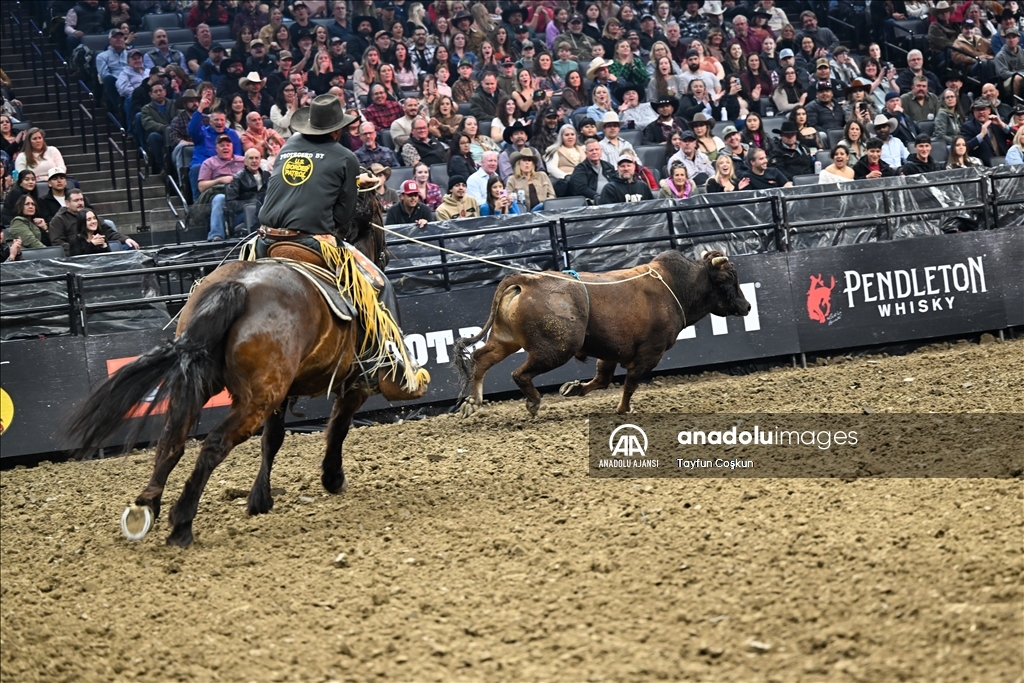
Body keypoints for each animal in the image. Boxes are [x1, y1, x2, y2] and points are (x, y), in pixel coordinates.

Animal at [66, 194, 428, 548]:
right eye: (379, 211)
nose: (387, 254)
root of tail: (239, 287)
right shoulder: (354, 386)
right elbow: (337, 427)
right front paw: (332, 477)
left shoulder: (282, 393)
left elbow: (273, 439)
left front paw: (260, 499)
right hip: (257, 400)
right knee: (214, 443)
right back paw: (181, 522)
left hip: (218, 386)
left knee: (172, 436)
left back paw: (147, 505)